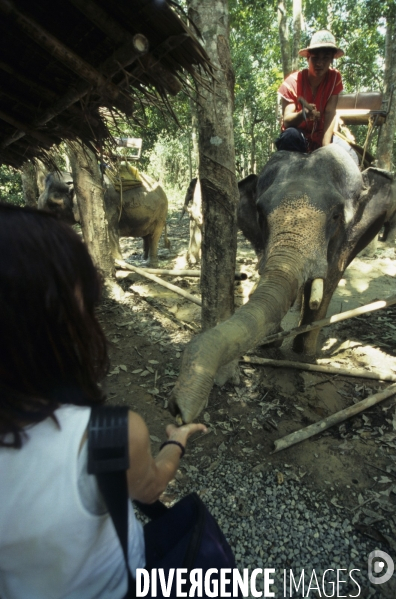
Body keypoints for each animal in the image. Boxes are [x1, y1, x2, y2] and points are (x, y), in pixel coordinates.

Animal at [38, 168, 170, 264]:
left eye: (52, 204)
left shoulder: (107, 204)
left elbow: (110, 229)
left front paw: (118, 263)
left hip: (161, 213)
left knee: (154, 236)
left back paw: (150, 264)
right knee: (146, 235)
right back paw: (143, 260)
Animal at [169, 146, 394, 424]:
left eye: (336, 215)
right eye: (261, 215)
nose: (178, 409)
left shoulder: (349, 239)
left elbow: (329, 278)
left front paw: (304, 355)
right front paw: (270, 342)